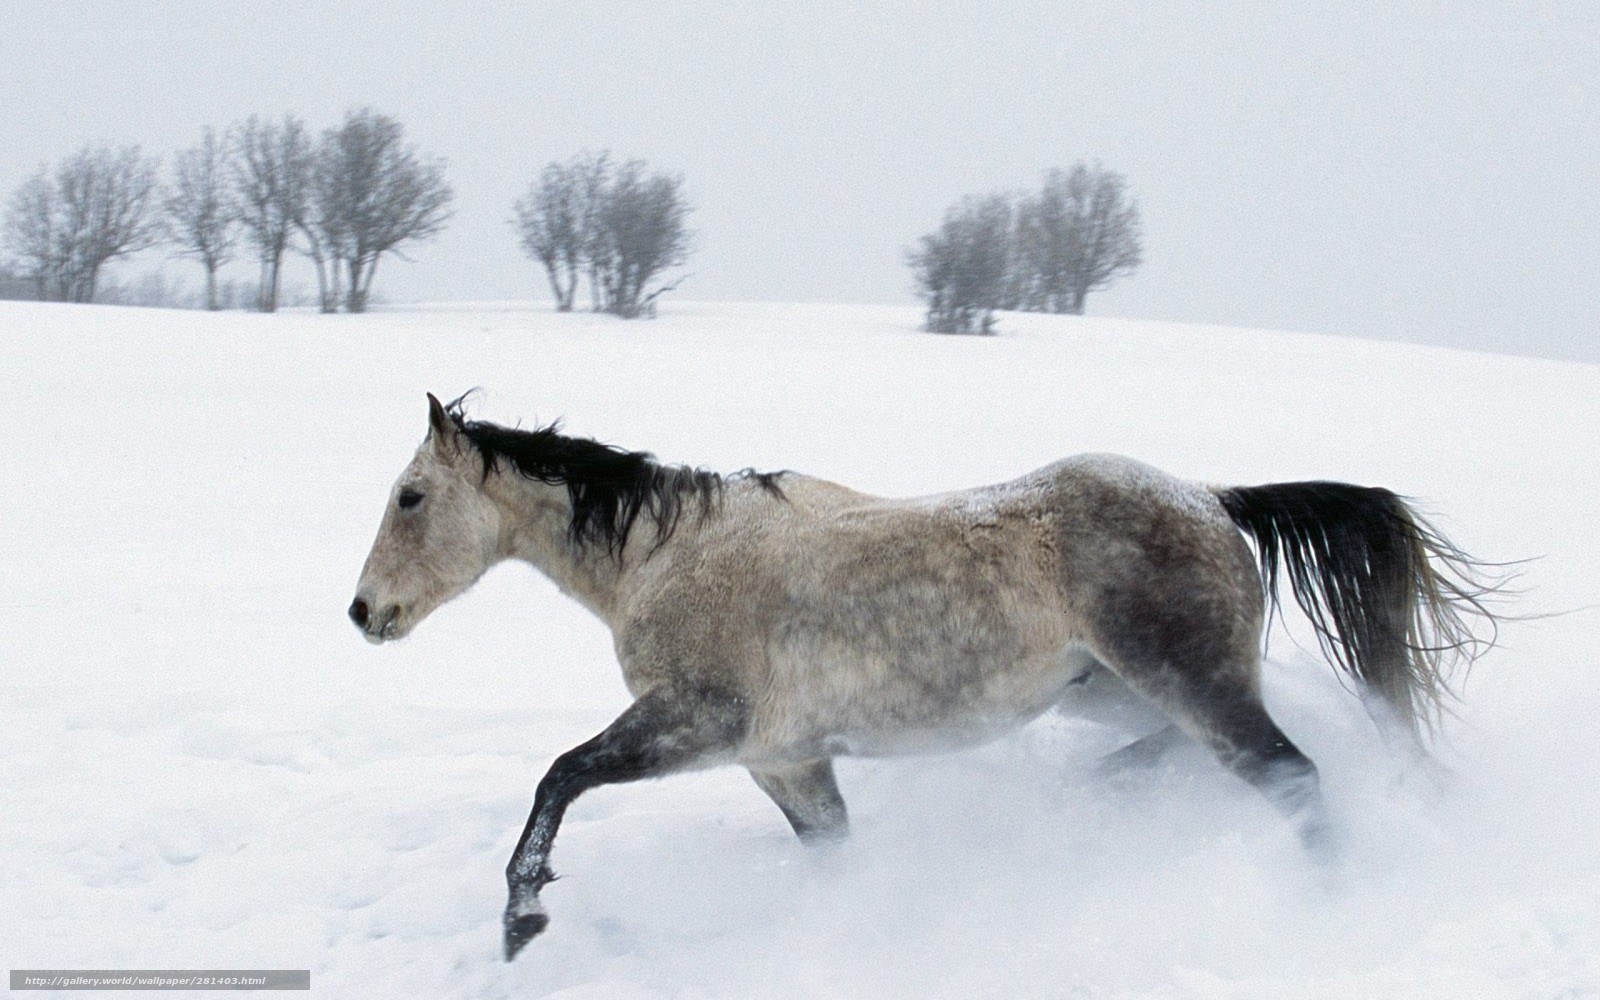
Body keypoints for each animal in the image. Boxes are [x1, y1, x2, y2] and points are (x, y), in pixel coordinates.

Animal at [349, 393, 1499, 961]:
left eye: (410, 496)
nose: (363, 613)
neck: (669, 556)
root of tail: (1213, 499)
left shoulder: (698, 722)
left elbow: (559, 775)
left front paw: (521, 921)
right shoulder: (785, 761)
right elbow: (835, 857)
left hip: (1190, 681)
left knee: (1294, 779)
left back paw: (1331, 908)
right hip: (1115, 691)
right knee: (1185, 754)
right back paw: (1098, 800)